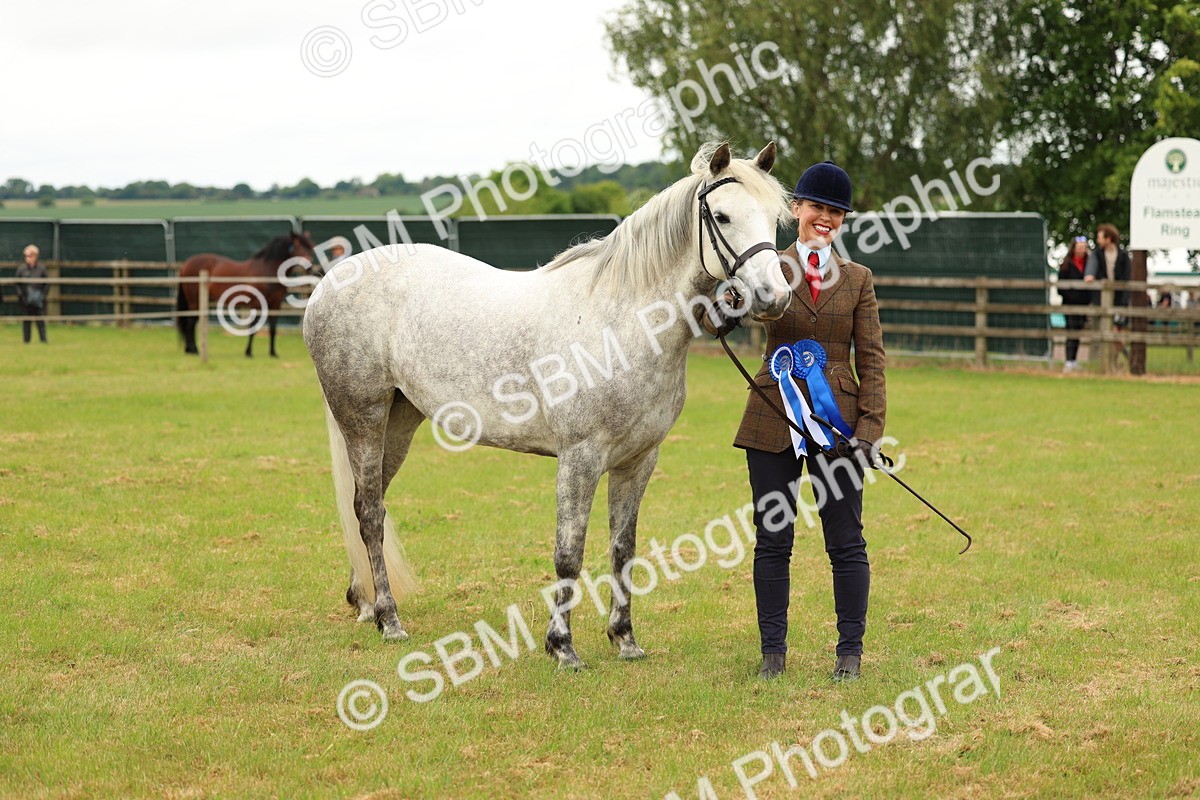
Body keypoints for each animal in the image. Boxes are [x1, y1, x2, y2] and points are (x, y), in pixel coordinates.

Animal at [176, 231, 316, 357]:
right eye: (298, 246)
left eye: (310, 247)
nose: (310, 266)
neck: (266, 271)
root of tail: (185, 265)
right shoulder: (256, 304)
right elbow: (253, 328)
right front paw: (248, 352)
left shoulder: (275, 305)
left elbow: (272, 328)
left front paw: (273, 353)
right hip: (195, 302)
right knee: (190, 323)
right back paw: (193, 350)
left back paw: (190, 349)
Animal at [303, 142, 793, 669]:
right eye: (721, 216)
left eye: (775, 217)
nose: (775, 297)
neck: (622, 322)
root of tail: (331, 281)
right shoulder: (580, 458)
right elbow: (569, 552)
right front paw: (562, 648)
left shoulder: (639, 460)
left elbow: (623, 549)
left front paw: (625, 640)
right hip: (364, 419)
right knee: (371, 512)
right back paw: (390, 620)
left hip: (399, 421)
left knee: (367, 505)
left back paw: (367, 603)